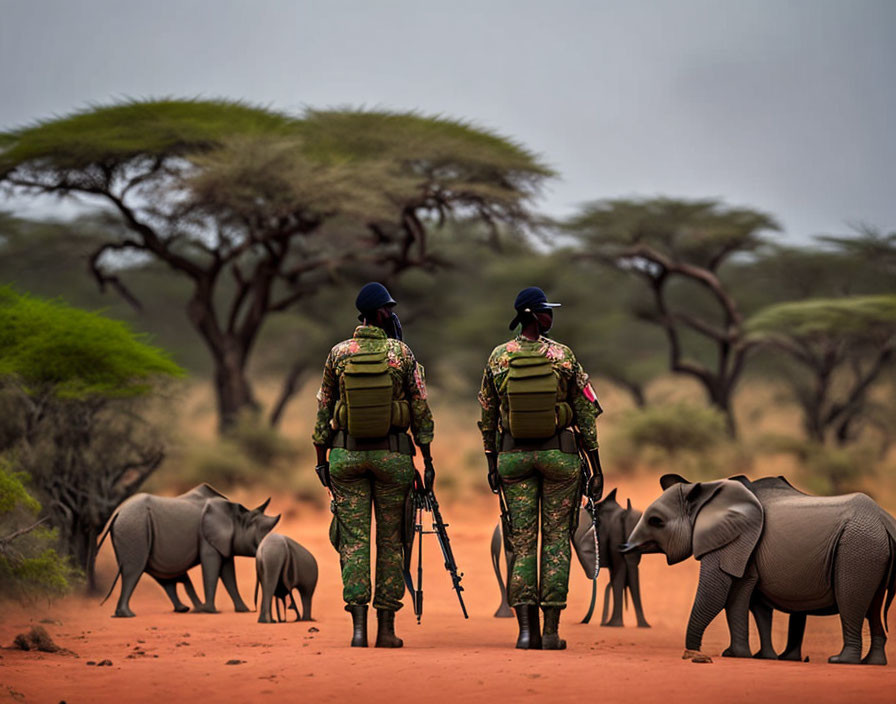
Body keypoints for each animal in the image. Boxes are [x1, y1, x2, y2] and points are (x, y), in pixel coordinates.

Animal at [98, 484, 282, 616]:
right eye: (259, 536)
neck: (236, 519)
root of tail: (118, 512)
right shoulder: (210, 543)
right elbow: (211, 571)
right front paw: (211, 611)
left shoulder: (226, 545)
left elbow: (229, 576)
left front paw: (243, 610)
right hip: (134, 525)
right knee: (135, 569)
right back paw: (128, 615)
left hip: (135, 525)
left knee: (163, 574)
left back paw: (186, 609)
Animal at [624, 472, 896, 664]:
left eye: (656, 521)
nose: (695, 657)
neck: (708, 491)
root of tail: (885, 521)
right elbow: (755, 604)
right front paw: (760, 657)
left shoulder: (734, 540)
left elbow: (727, 595)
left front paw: (735, 655)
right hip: (870, 550)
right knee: (873, 607)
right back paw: (872, 663)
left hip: (858, 547)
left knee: (851, 602)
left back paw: (840, 661)